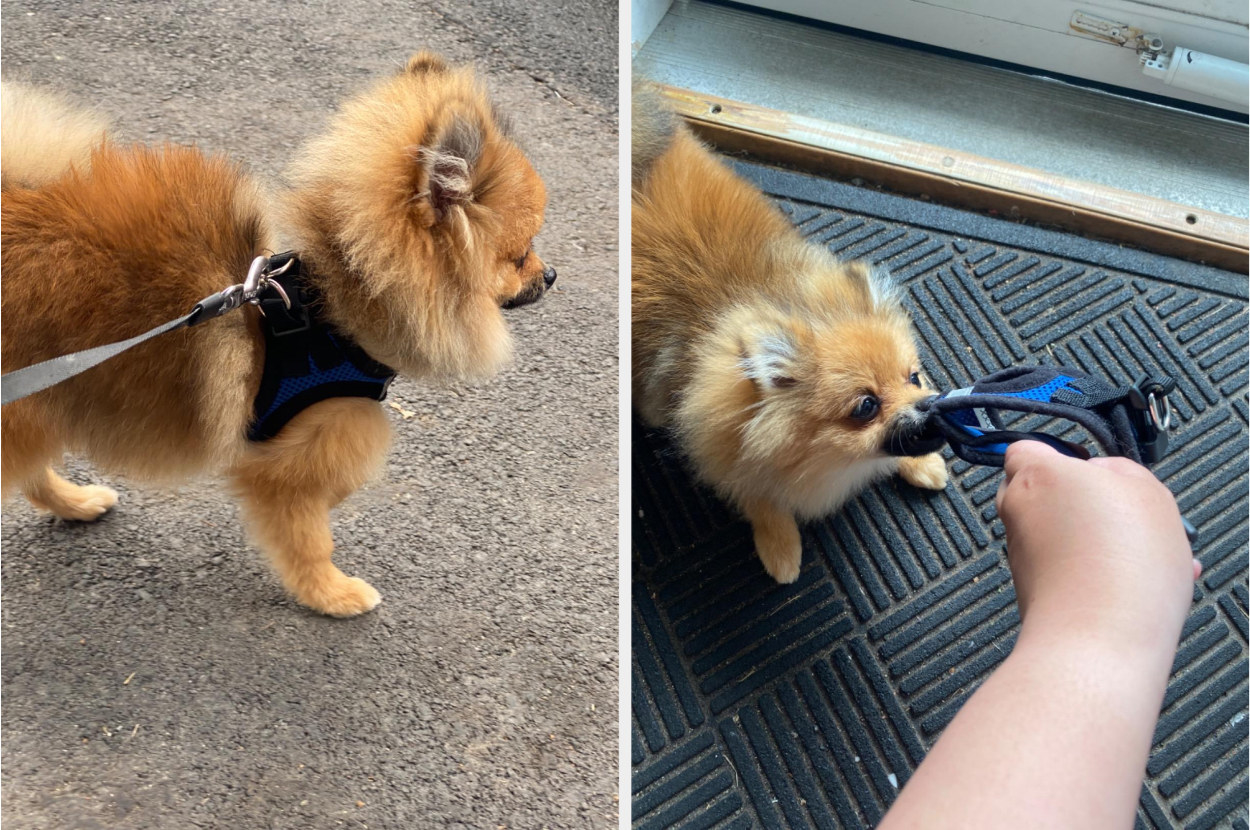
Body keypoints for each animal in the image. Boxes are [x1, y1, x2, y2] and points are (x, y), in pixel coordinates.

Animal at [2, 53, 555, 615]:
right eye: (521, 255)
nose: (551, 275)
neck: (332, 312)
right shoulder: (286, 468)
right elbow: (310, 535)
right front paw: (332, 594)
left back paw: (76, 503)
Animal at [630, 81, 940, 580]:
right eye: (866, 406)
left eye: (914, 377)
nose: (930, 404)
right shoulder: (719, 443)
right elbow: (758, 496)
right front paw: (780, 546)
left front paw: (924, 463)